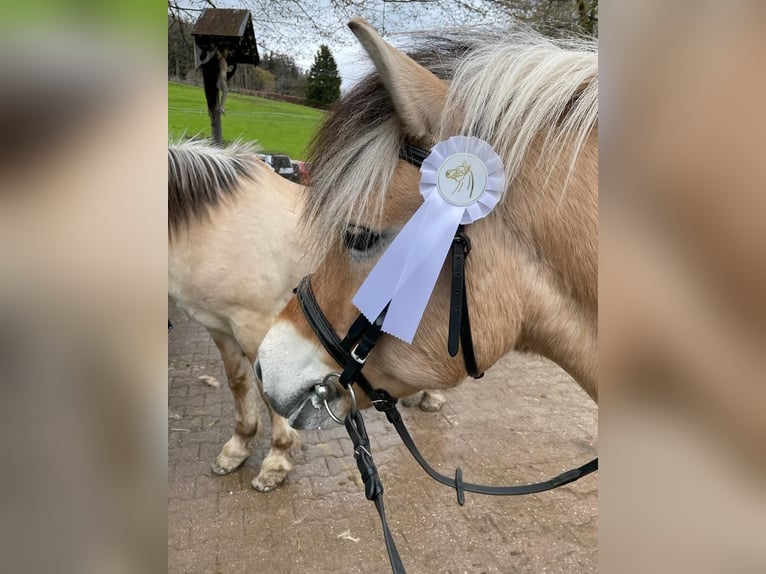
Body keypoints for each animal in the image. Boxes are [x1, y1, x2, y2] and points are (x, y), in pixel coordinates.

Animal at [166, 140, 448, 490]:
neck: (214, 224)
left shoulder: (253, 325)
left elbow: (266, 391)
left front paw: (276, 461)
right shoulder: (219, 326)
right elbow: (239, 383)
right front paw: (237, 449)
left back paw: (432, 397)